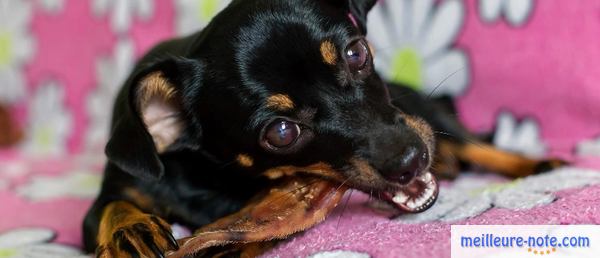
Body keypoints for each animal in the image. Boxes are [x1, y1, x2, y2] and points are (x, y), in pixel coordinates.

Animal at [83, 1, 564, 256]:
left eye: (356, 53)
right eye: (281, 133)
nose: (412, 160)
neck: (218, 183)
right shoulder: (102, 205)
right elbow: (113, 208)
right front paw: (131, 232)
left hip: (427, 113)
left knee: (476, 144)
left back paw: (538, 164)